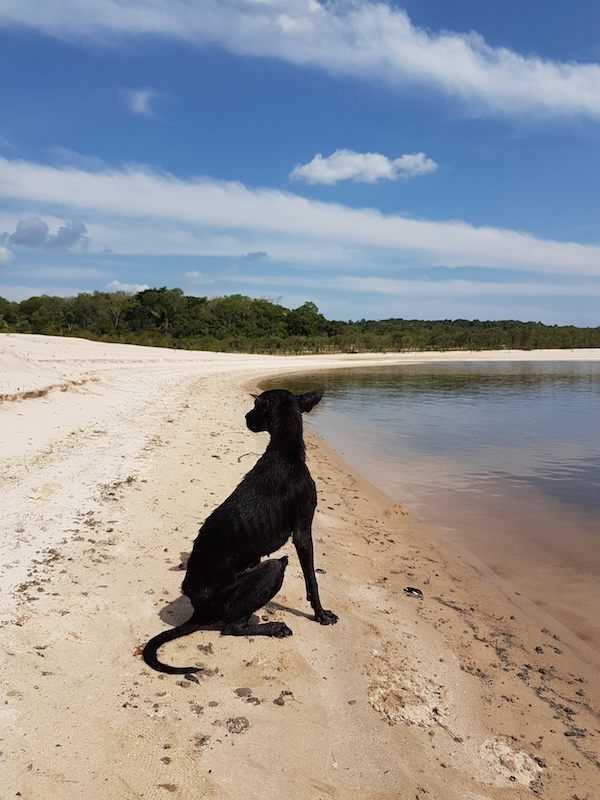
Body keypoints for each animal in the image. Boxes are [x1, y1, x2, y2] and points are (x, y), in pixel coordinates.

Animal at [142, 390, 338, 672]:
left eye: (255, 405)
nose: (245, 417)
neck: (284, 451)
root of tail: (198, 611)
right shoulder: (302, 532)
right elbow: (312, 579)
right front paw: (321, 615)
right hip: (272, 569)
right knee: (232, 627)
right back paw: (274, 627)